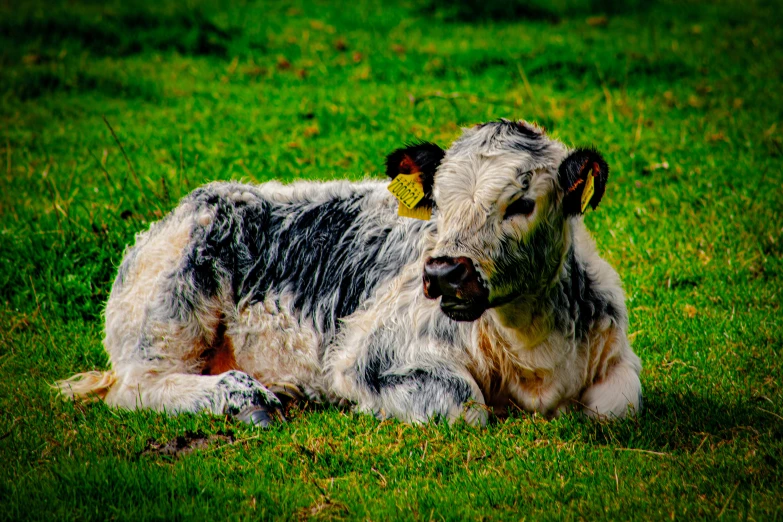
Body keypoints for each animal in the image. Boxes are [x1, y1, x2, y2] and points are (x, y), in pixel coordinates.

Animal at [56, 119, 644, 426]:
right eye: (437, 203)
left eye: (522, 203)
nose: (444, 272)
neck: (532, 359)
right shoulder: (371, 354)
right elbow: (462, 404)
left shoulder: (617, 356)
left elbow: (618, 406)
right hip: (169, 305)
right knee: (135, 386)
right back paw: (245, 398)